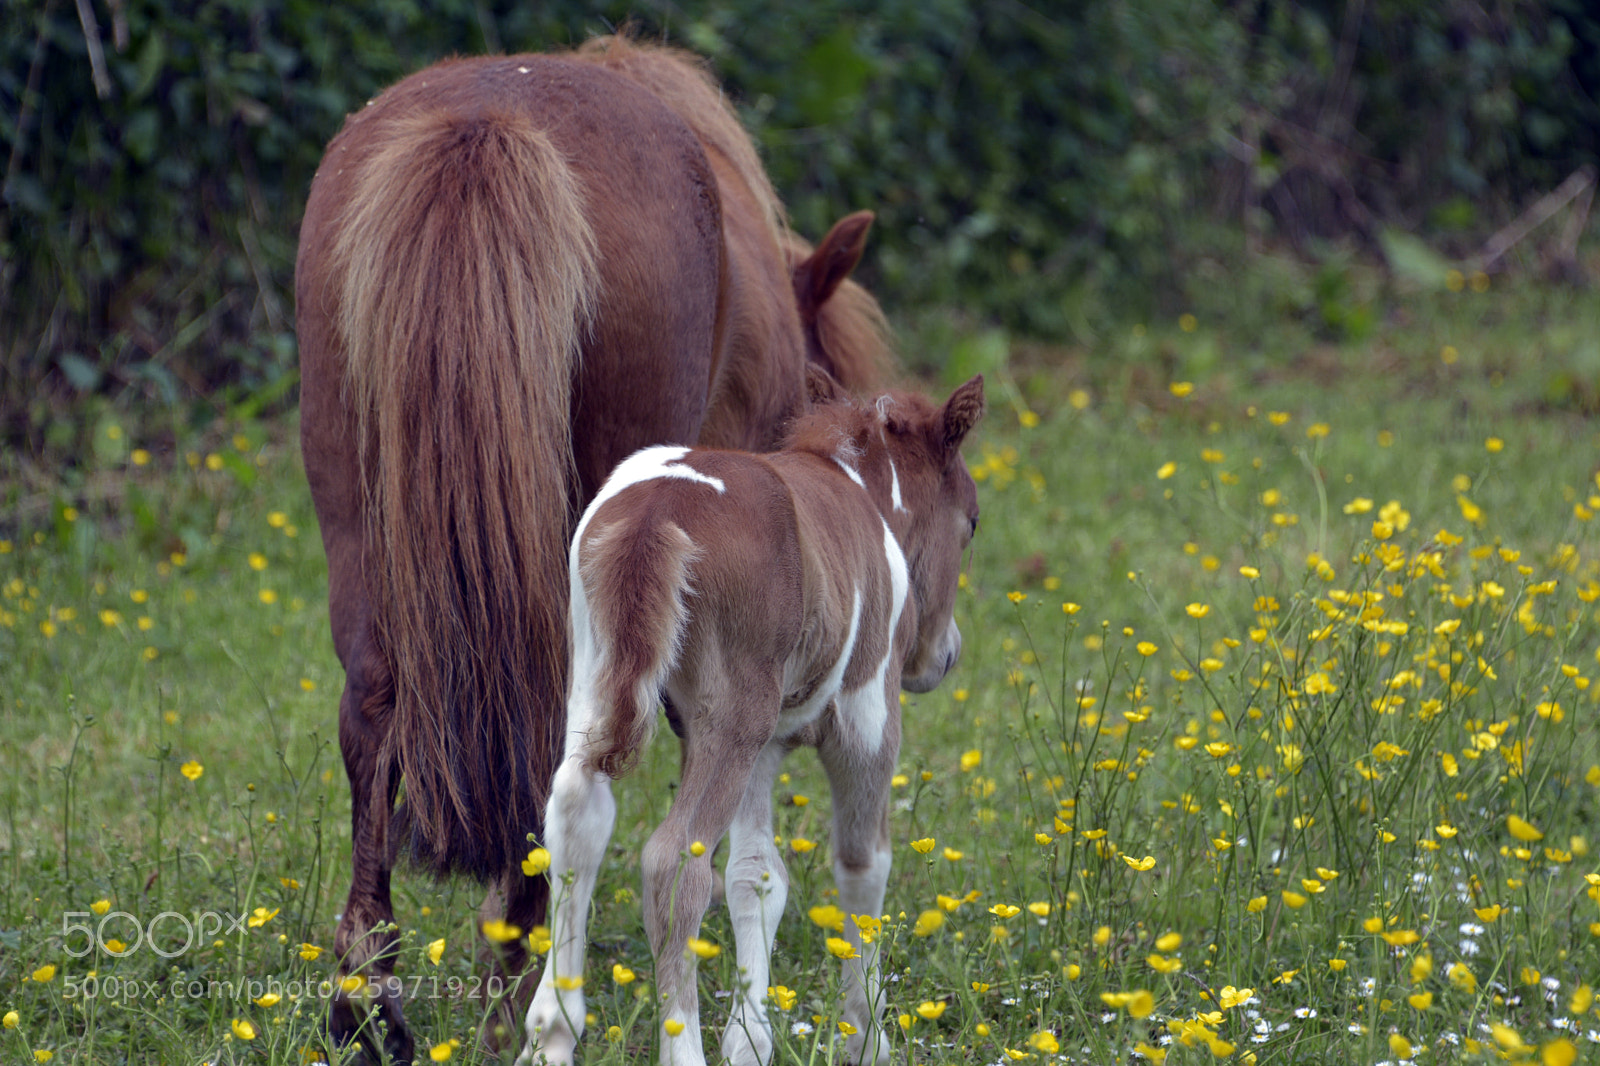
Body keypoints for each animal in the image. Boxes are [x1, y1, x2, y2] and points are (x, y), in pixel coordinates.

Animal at [519, 371, 984, 1066]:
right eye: (972, 524)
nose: (945, 654)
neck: (861, 489)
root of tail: (658, 509)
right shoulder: (867, 717)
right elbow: (862, 865)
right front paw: (866, 1035)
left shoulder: (764, 748)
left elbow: (757, 875)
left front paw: (751, 1038)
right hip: (732, 713)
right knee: (674, 862)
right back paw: (679, 1048)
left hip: (600, 679)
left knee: (577, 812)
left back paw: (553, 1030)